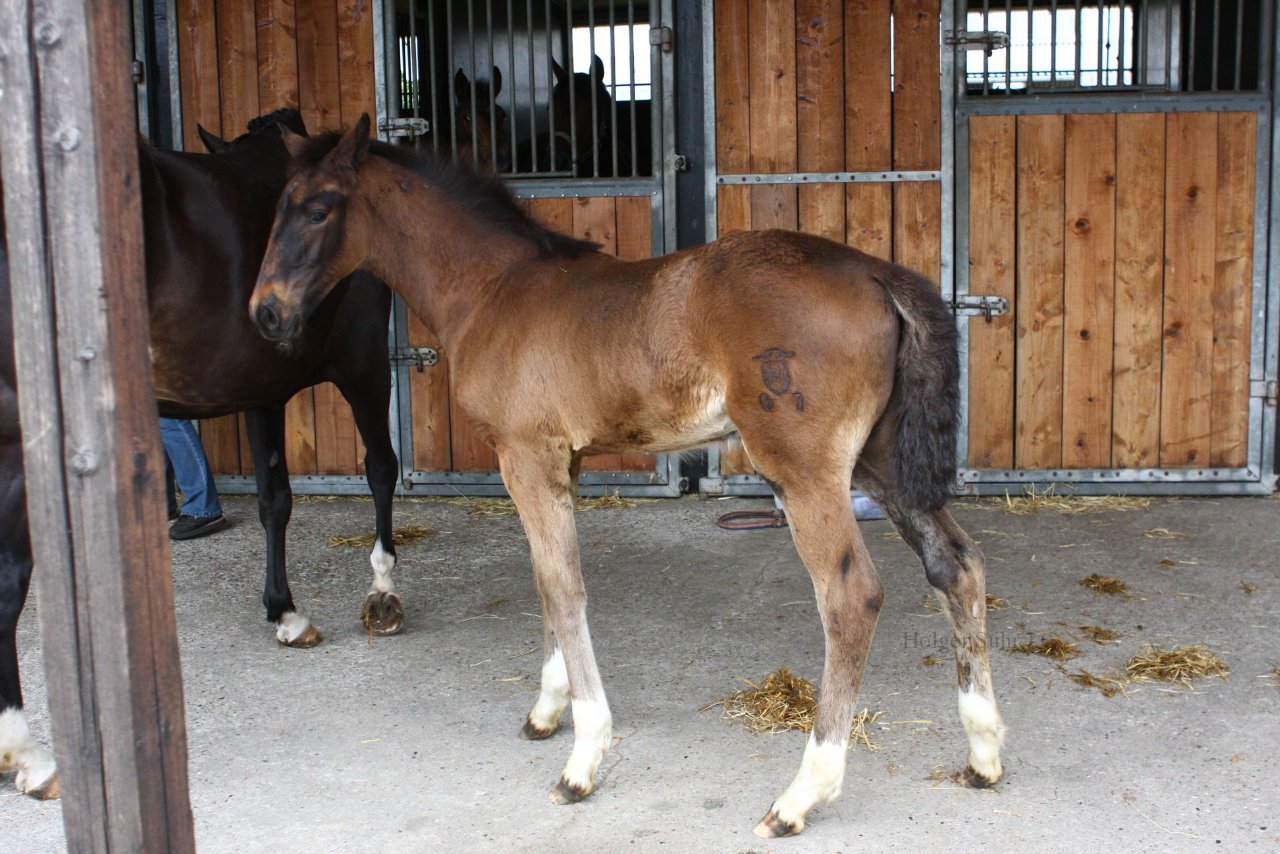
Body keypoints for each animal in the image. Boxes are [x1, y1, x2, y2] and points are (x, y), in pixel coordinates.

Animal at [0, 110, 404, 798]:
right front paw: (383, 588)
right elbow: (381, 470)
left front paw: (285, 611)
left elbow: (275, 499)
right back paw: (28, 754)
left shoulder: (262, 391)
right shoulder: (365, 363)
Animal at [249, 117, 1003, 839]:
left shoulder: (524, 455)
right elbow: (547, 579)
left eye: (318, 209)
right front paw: (547, 710)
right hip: (881, 460)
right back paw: (983, 755)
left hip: (806, 471)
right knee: (957, 566)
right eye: (277, 206)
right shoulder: (563, 461)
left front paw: (583, 758)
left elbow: (563, 587)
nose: (265, 312)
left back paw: (798, 797)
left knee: (851, 597)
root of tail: (876, 275)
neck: (492, 290)